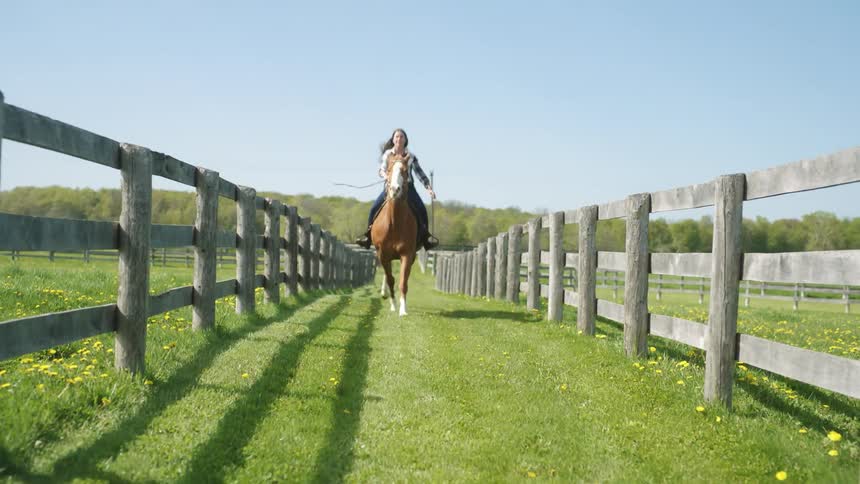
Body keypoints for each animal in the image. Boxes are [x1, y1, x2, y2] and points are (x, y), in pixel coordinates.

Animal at [371, 154, 418, 316]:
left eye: (404, 170)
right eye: (389, 169)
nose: (395, 189)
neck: (395, 224)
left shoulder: (407, 254)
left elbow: (403, 281)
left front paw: (403, 310)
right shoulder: (383, 254)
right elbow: (391, 280)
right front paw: (393, 304)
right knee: (387, 275)